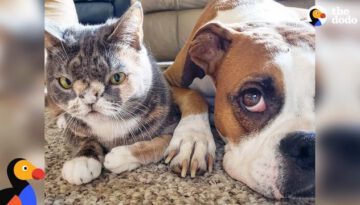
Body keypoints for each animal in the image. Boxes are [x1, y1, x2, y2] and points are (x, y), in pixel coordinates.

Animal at [46, 2, 179, 185]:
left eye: (117, 77)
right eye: (65, 82)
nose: (89, 99)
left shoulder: (170, 120)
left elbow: (161, 142)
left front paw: (122, 156)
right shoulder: (75, 132)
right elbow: (82, 139)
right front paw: (82, 161)